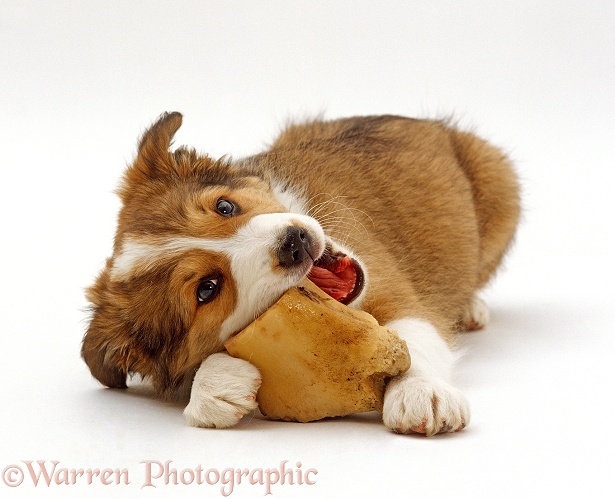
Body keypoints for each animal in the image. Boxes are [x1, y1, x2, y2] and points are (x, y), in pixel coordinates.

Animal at [82, 113, 520, 438]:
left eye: (225, 206)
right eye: (206, 290)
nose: (294, 241)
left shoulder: (397, 294)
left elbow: (414, 339)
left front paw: (422, 392)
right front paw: (216, 384)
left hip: (500, 185)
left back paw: (471, 309)